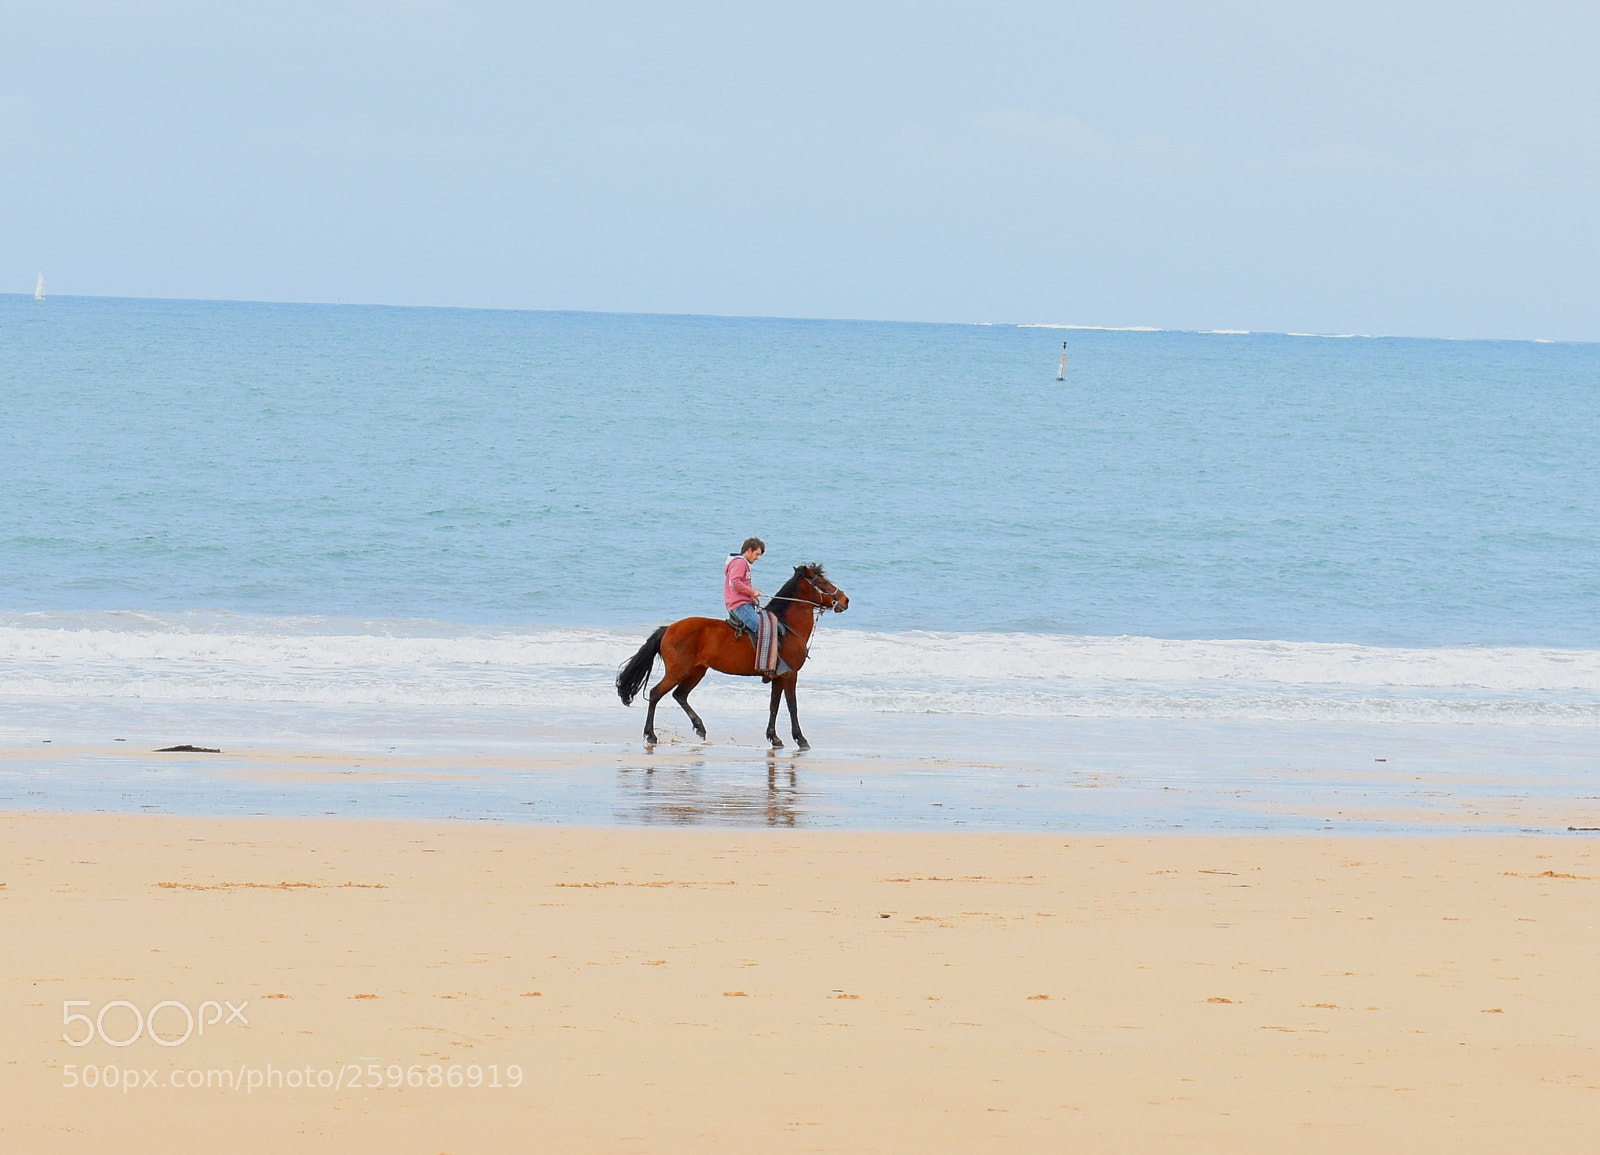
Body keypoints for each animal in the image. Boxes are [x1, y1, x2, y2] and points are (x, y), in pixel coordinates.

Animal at [615, 563, 849, 748]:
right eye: (823, 582)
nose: (845, 599)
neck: (786, 626)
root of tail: (668, 629)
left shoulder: (777, 677)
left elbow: (774, 706)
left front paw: (774, 737)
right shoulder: (790, 675)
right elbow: (792, 706)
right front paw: (800, 738)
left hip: (696, 671)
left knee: (680, 695)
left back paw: (699, 727)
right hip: (678, 671)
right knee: (656, 693)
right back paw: (651, 734)